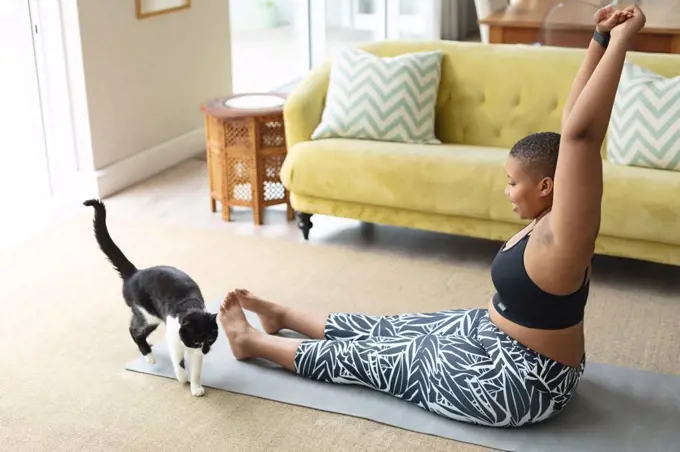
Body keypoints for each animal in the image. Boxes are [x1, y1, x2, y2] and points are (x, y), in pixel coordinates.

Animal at [84, 198, 218, 396]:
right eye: (197, 340)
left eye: (210, 339)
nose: (206, 350)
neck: (190, 308)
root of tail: (135, 273)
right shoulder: (174, 340)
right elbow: (178, 362)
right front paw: (182, 378)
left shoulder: (195, 353)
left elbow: (196, 370)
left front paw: (196, 388)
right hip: (148, 314)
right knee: (134, 330)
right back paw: (149, 357)